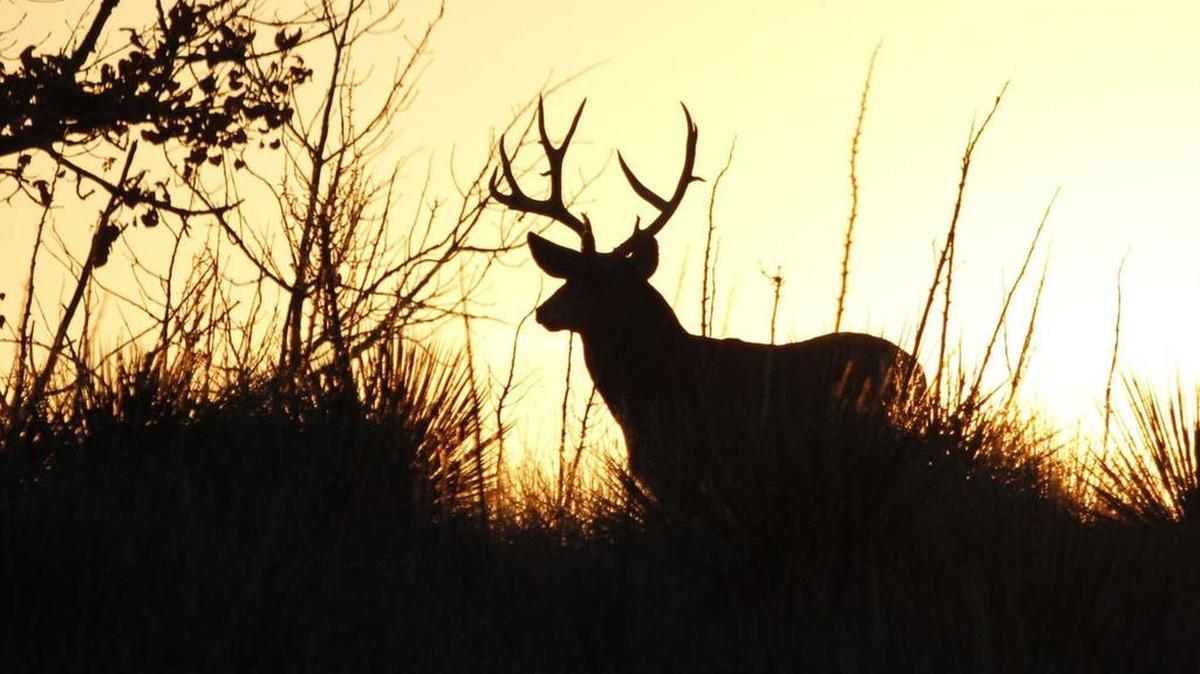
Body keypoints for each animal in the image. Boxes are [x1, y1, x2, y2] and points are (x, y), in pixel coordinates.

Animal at [490, 100, 924, 500]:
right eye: (572, 276)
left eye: (589, 281)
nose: (543, 312)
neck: (656, 382)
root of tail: (917, 371)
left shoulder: (696, 469)